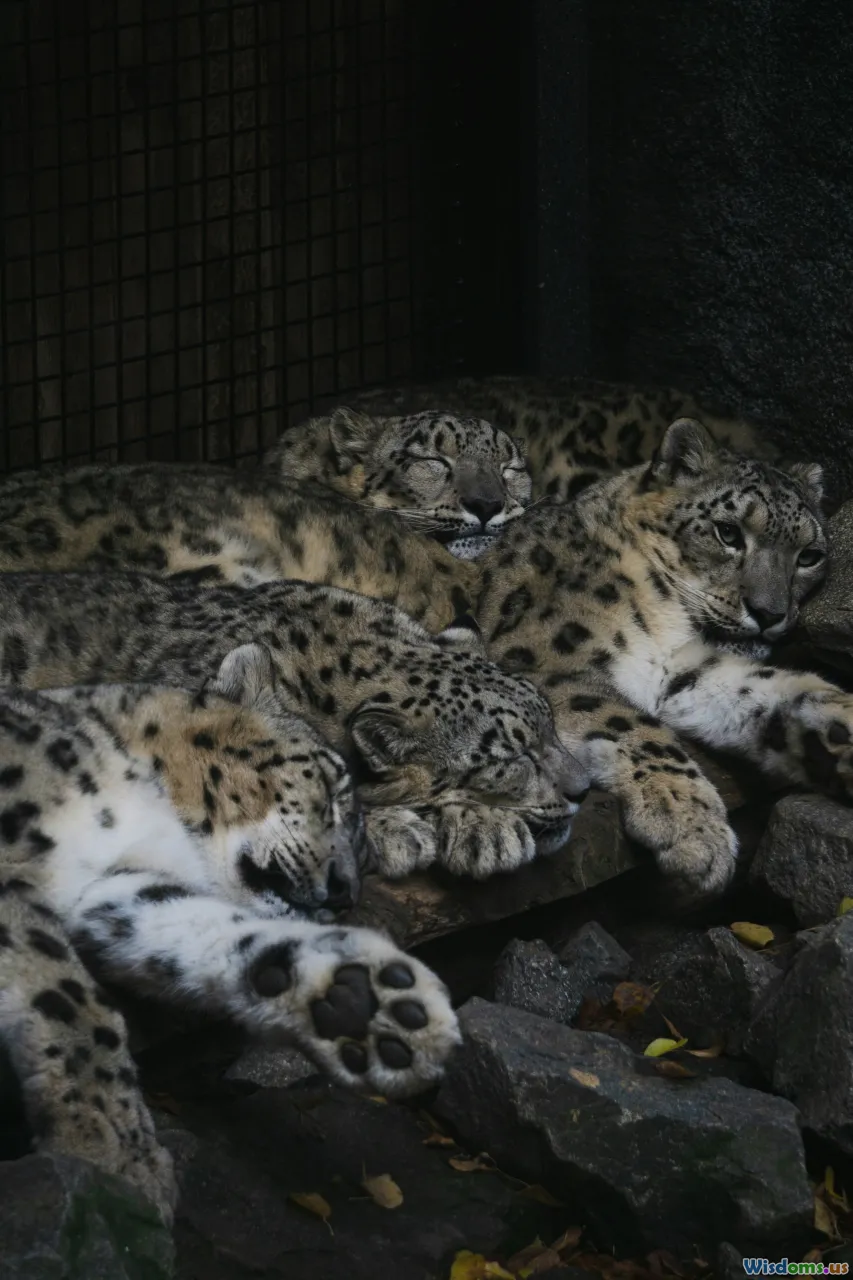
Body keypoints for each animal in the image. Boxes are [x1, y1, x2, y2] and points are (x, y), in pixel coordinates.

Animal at [0, 642, 461, 1222]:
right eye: (332, 787)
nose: (344, 893)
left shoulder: (116, 887)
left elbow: (205, 929)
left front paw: (364, 1002)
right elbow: (70, 997)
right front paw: (114, 1154)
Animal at [472, 416, 845, 902]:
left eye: (809, 556)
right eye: (728, 532)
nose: (769, 613)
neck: (662, 618)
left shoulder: (683, 672)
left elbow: (764, 690)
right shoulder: (545, 664)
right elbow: (631, 723)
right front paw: (694, 828)